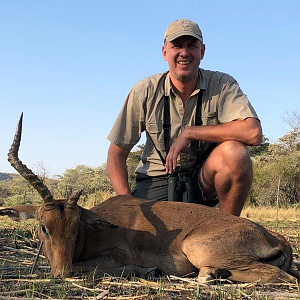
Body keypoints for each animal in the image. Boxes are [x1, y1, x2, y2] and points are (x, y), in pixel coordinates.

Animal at [1, 113, 298, 284]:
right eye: (44, 227)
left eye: (76, 227)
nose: (62, 273)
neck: (91, 234)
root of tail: (276, 238)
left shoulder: (114, 256)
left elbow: (93, 267)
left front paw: (147, 271)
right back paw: (211, 275)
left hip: (197, 247)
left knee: (280, 276)